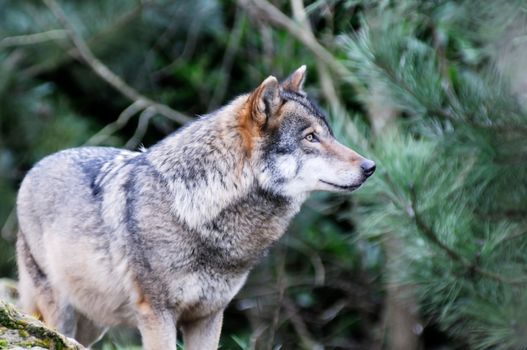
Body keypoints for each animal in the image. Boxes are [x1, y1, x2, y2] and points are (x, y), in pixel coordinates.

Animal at [15, 66, 376, 350]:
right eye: (311, 137)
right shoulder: (157, 314)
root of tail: (33, 170)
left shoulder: (209, 315)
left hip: (92, 324)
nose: (371, 167)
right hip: (61, 311)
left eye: (328, 134)